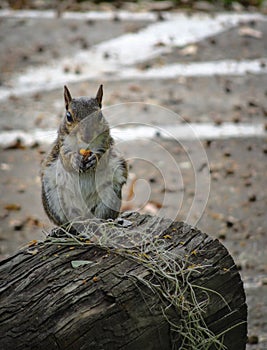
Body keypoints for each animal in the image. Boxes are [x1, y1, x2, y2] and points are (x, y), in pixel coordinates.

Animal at [41, 83, 128, 228]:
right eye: (68, 116)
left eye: (100, 115)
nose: (87, 136)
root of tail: (84, 216)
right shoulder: (62, 145)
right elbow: (66, 160)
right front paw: (74, 160)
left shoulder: (106, 142)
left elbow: (103, 158)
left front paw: (94, 159)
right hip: (54, 198)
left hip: (110, 195)